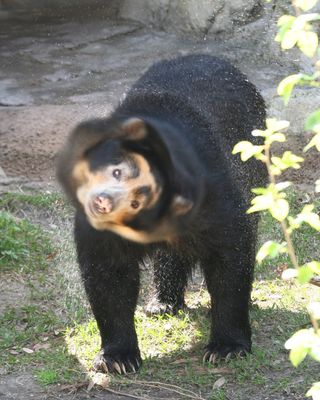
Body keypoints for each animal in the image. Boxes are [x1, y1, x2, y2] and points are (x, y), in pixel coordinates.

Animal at [58, 54, 268, 374]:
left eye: (119, 173)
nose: (101, 202)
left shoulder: (209, 188)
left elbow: (230, 252)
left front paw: (226, 347)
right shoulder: (101, 232)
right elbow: (108, 272)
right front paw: (117, 357)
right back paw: (162, 302)